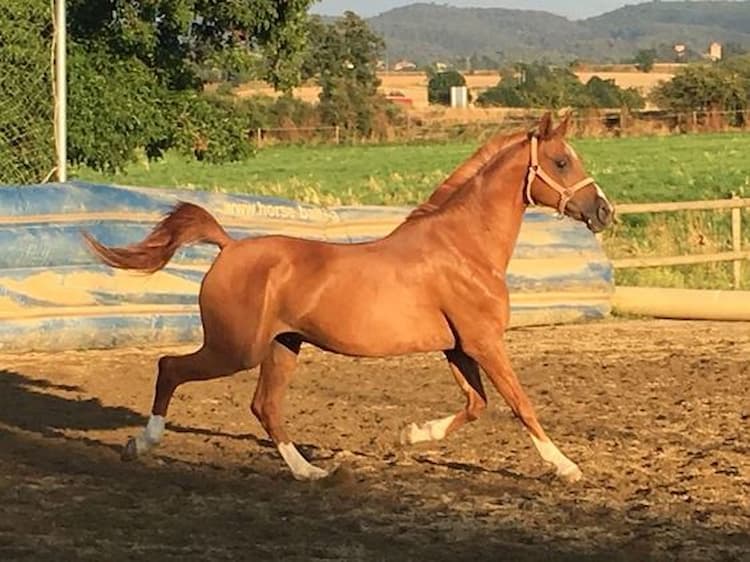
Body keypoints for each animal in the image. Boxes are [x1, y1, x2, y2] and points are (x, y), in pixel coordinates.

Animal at [85, 112, 612, 482]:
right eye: (561, 162)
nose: (603, 211)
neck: (464, 248)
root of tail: (229, 246)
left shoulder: (459, 348)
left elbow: (477, 404)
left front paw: (411, 435)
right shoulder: (483, 342)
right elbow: (521, 404)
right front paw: (566, 467)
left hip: (282, 347)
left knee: (265, 407)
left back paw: (311, 472)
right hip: (235, 349)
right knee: (170, 368)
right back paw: (141, 444)